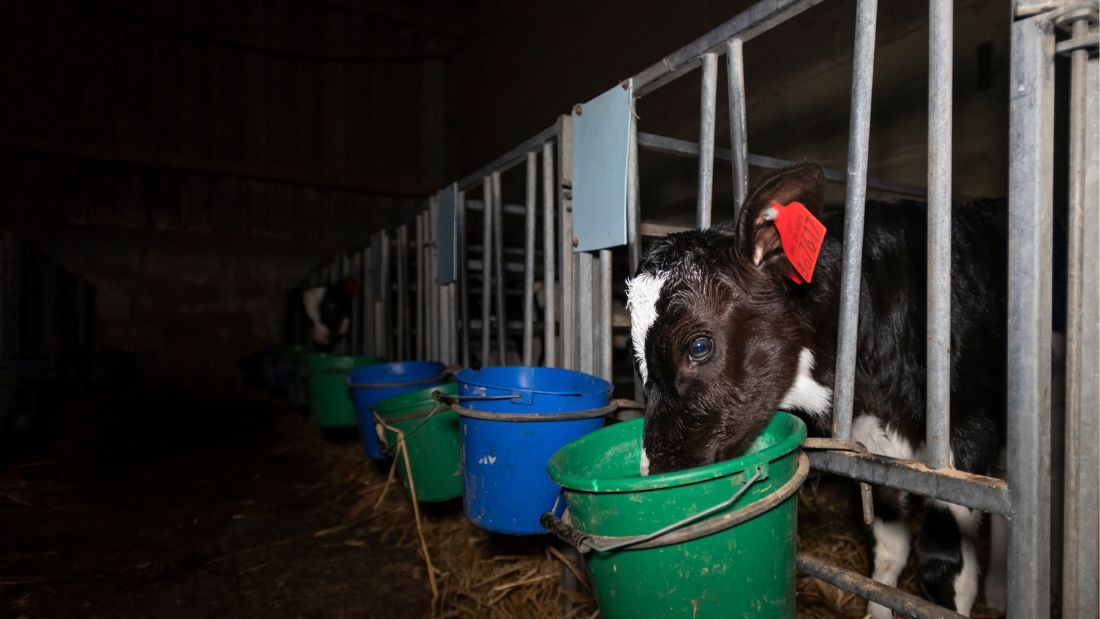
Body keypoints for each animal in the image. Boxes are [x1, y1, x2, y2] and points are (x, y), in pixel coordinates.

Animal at [633, 162, 1007, 615]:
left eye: (698, 346)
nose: (656, 472)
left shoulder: (968, 435)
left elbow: (945, 566)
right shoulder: (874, 445)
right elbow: (888, 550)